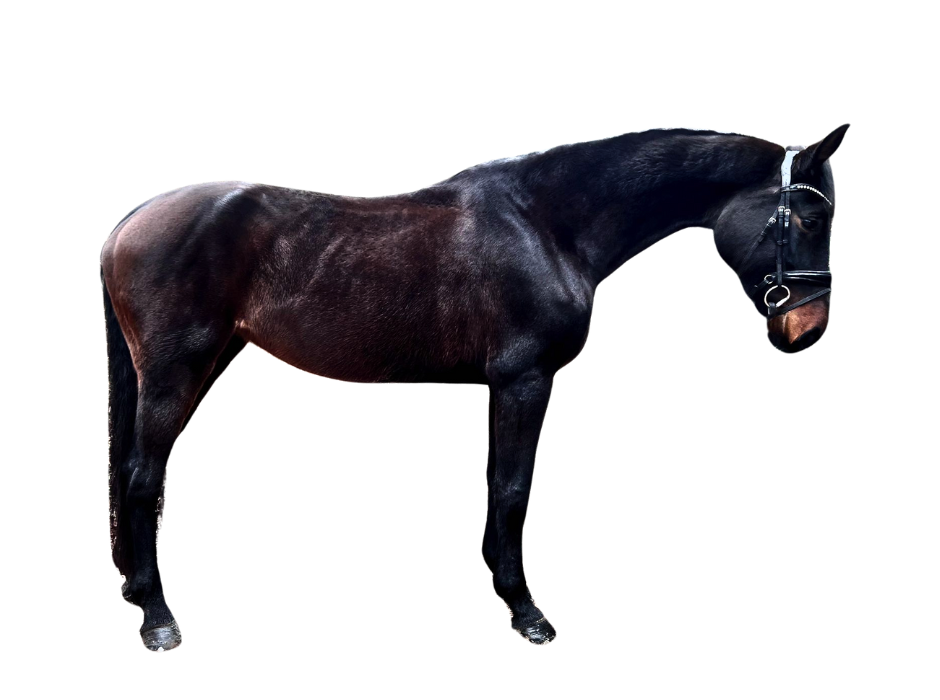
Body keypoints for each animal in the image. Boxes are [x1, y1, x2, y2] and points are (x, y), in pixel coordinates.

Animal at [100, 123, 848, 651]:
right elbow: (512, 493)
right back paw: (159, 619)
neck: (546, 224)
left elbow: (500, 490)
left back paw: (138, 591)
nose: (808, 331)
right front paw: (527, 612)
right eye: (811, 219)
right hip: (176, 370)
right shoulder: (523, 379)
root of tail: (125, 227)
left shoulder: (505, 385)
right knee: (141, 478)